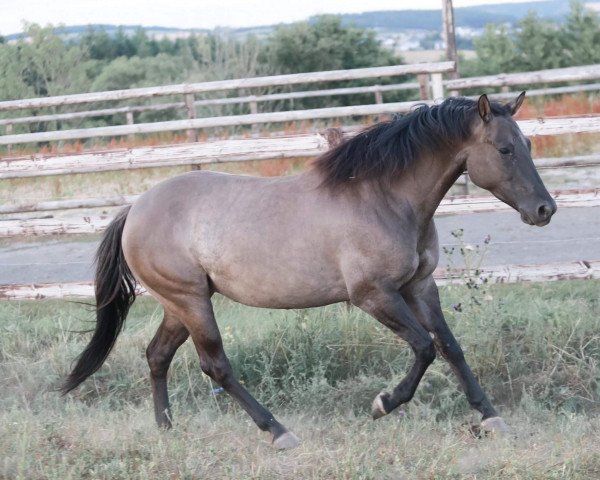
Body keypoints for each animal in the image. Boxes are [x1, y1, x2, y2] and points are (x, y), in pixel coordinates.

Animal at [62, 94, 556, 450]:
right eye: (505, 149)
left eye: (529, 145)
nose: (544, 210)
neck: (385, 198)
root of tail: (135, 209)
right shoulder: (374, 295)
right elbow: (424, 348)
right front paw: (382, 404)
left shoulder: (420, 287)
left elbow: (451, 347)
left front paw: (491, 417)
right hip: (190, 301)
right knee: (215, 365)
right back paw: (279, 433)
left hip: (180, 304)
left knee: (157, 356)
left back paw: (167, 429)